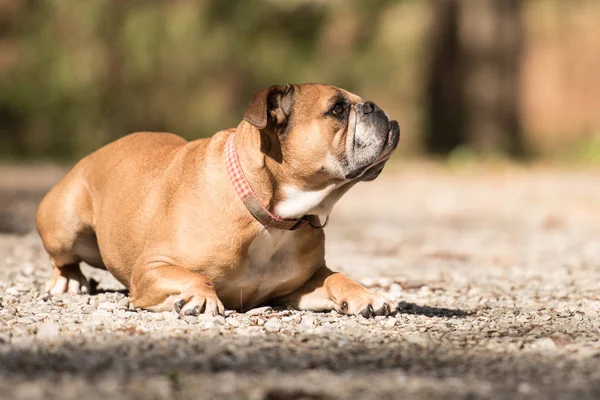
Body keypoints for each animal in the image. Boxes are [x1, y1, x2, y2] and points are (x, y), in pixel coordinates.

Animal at [35, 83, 400, 318]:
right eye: (337, 109)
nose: (376, 107)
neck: (269, 214)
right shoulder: (151, 267)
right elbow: (196, 276)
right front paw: (198, 298)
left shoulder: (299, 284)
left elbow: (336, 276)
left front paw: (365, 295)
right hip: (64, 225)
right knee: (62, 259)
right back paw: (69, 281)